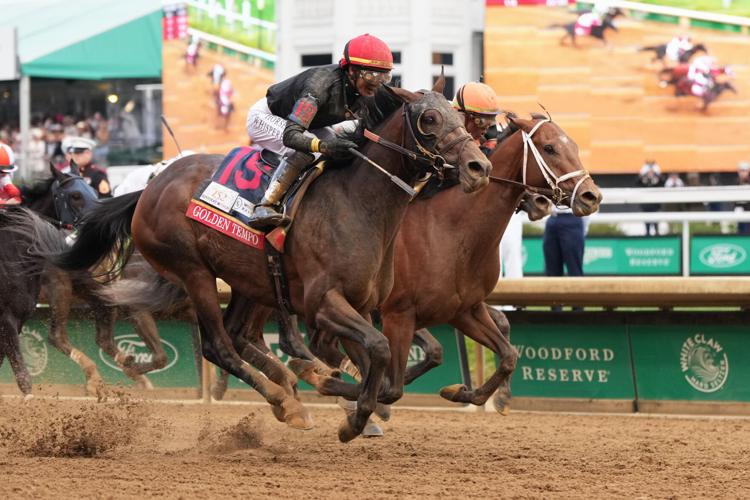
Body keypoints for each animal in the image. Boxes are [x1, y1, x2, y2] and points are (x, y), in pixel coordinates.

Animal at [43, 82, 492, 442]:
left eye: (460, 116)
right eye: (430, 118)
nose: (479, 167)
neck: (358, 203)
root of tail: (149, 188)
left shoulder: (362, 306)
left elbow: (384, 376)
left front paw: (347, 395)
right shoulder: (323, 302)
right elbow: (377, 352)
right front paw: (342, 407)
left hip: (249, 279)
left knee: (237, 336)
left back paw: (289, 394)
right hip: (195, 272)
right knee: (219, 346)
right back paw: (285, 400)